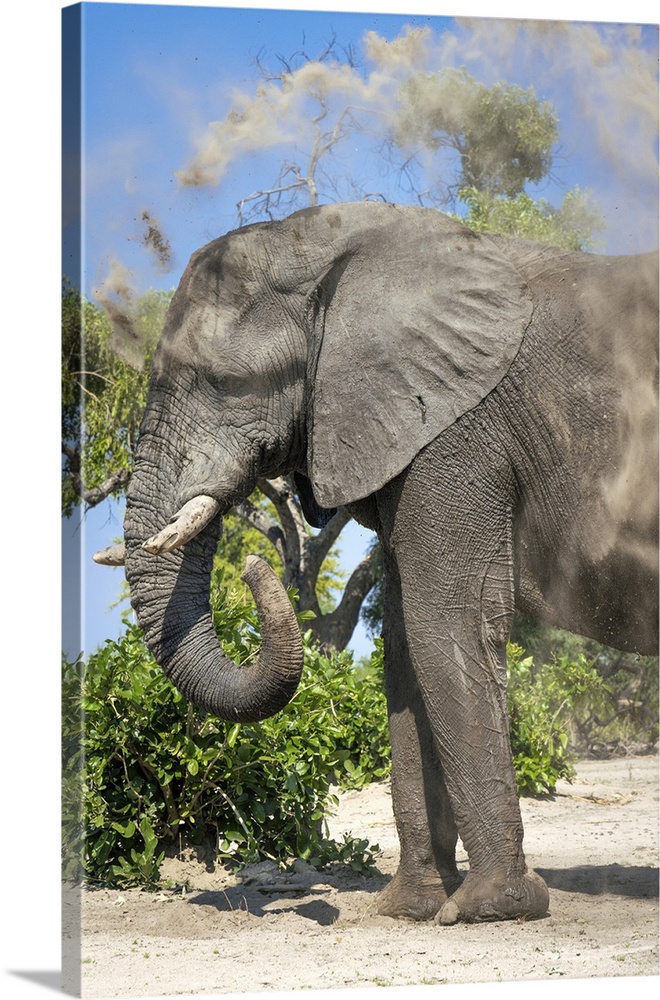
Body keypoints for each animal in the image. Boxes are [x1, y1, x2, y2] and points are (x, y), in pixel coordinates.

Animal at [99, 199, 660, 924]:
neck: (334, 248)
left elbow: (442, 620)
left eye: (227, 383)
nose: (253, 567)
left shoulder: (458, 430)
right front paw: (410, 907)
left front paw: (490, 907)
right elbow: (403, 645)